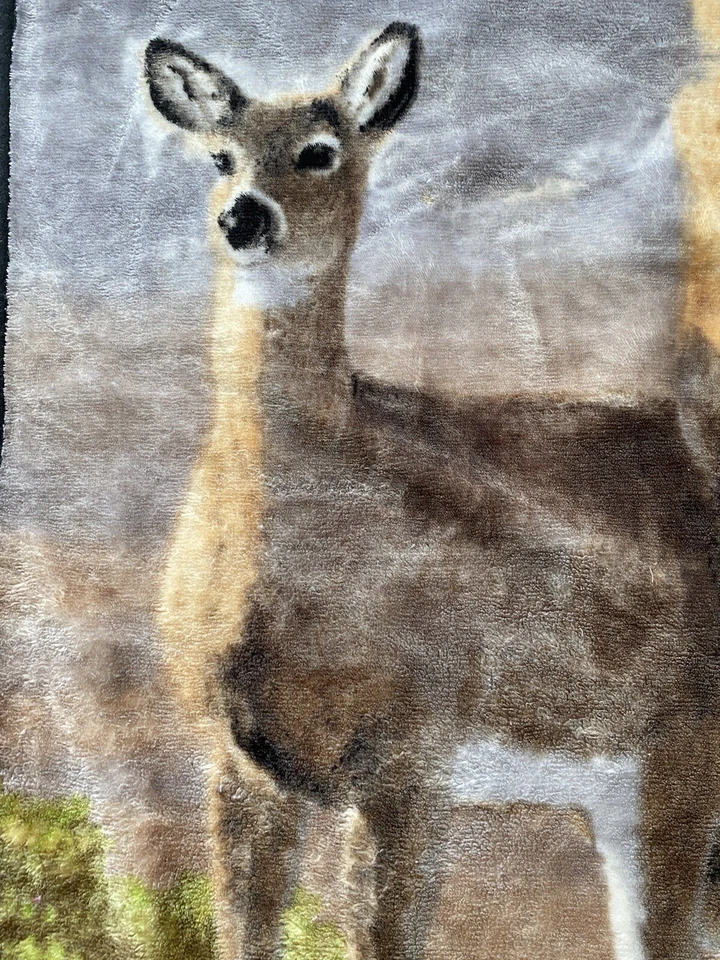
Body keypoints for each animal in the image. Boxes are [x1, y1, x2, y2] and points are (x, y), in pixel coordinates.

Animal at [144, 23, 720, 960]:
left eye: (319, 150)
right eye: (219, 157)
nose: (243, 217)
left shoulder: (413, 750)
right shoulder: (236, 763)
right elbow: (244, 934)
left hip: (679, 746)